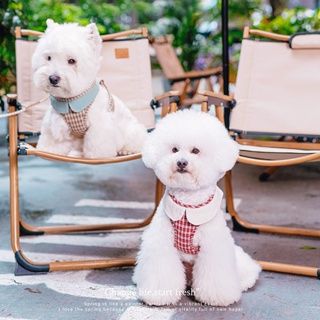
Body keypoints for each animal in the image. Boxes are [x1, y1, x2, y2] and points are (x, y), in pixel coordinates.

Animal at [31, 18, 146, 158]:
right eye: (48, 57)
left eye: (71, 61)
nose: (53, 78)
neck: (70, 100)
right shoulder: (54, 123)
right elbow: (52, 140)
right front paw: (47, 150)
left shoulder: (99, 127)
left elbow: (96, 144)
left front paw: (97, 157)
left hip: (132, 130)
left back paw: (127, 150)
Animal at [132, 110, 260, 308]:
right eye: (174, 149)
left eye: (195, 151)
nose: (181, 162)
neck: (188, 205)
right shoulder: (162, 243)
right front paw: (160, 295)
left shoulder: (213, 246)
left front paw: (216, 297)